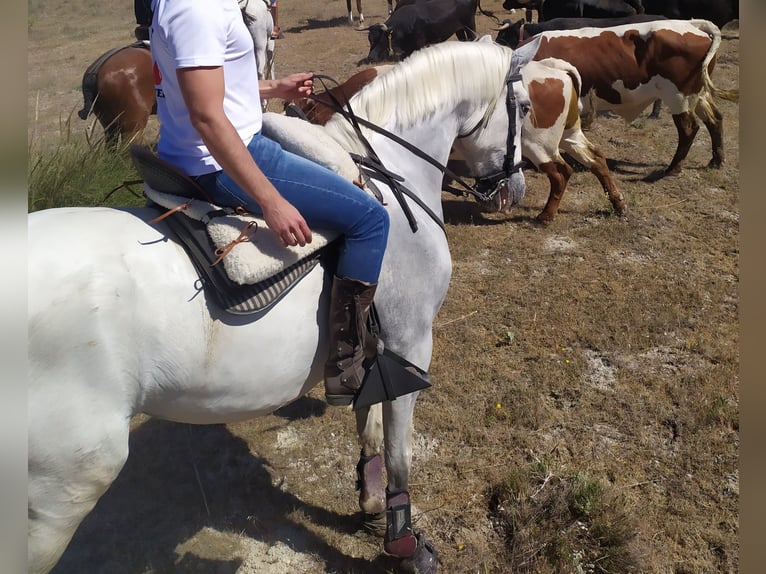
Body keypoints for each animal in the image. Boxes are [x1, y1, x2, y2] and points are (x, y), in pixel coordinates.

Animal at [27, 38, 540, 572]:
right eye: (524, 108)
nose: (515, 189)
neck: (391, 182)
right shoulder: (411, 344)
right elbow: (400, 451)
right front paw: (404, 542)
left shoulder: (372, 350)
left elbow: (369, 424)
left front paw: (371, 502)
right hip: (63, 486)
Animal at [496, 18, 740, 176]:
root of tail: (691, 25)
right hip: (697, 94)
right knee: (714, 119)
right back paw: (716, 160)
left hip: (679, 96)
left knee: (689, 129)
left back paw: (673, 168)